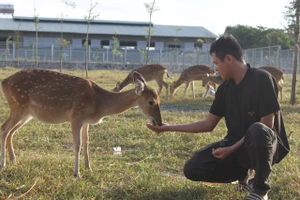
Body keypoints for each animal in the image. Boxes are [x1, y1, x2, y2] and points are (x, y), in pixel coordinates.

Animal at [1, 68, 163, 177]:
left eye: (159, 100)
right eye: (151, 101)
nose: (159, 122)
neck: (99, 104)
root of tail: (4, 82)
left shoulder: (86, 121)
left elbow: (86, 142)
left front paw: (88, 168)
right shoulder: (76, 116)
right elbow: (77, 144)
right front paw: (77, 173)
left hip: (27, 113)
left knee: (11, 131)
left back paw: (13, 160)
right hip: (18, 105)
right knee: (4, 129)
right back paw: (3, 164)